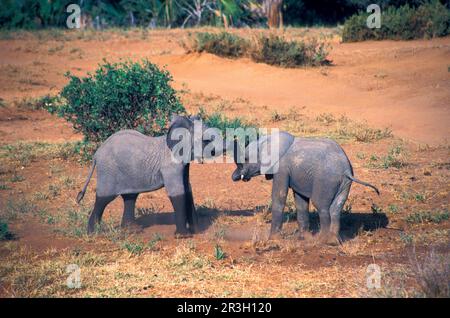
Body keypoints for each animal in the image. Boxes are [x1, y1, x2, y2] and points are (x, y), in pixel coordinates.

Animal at [76, 115, 210, 237]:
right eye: (206, 140)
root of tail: (96, 154)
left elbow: (187, 188)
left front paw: (197, 232)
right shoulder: (170, 165)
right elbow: (177, 192)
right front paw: (183, 236)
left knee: (130, 197)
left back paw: (132, 231)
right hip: (108, 171)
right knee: (103, 198)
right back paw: (93, 234)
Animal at [232, 131, 380, 243]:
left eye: (246, 159)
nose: (234, 177)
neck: (266, 141)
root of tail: (346, 170)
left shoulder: (282, 169)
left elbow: (279, 197)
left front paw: (272, 240)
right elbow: (301, 201)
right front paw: (303, 238)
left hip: (325, 180)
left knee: (322, 207)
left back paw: (321, 240)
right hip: (344, 183)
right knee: (336, 209)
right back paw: (333, 242)